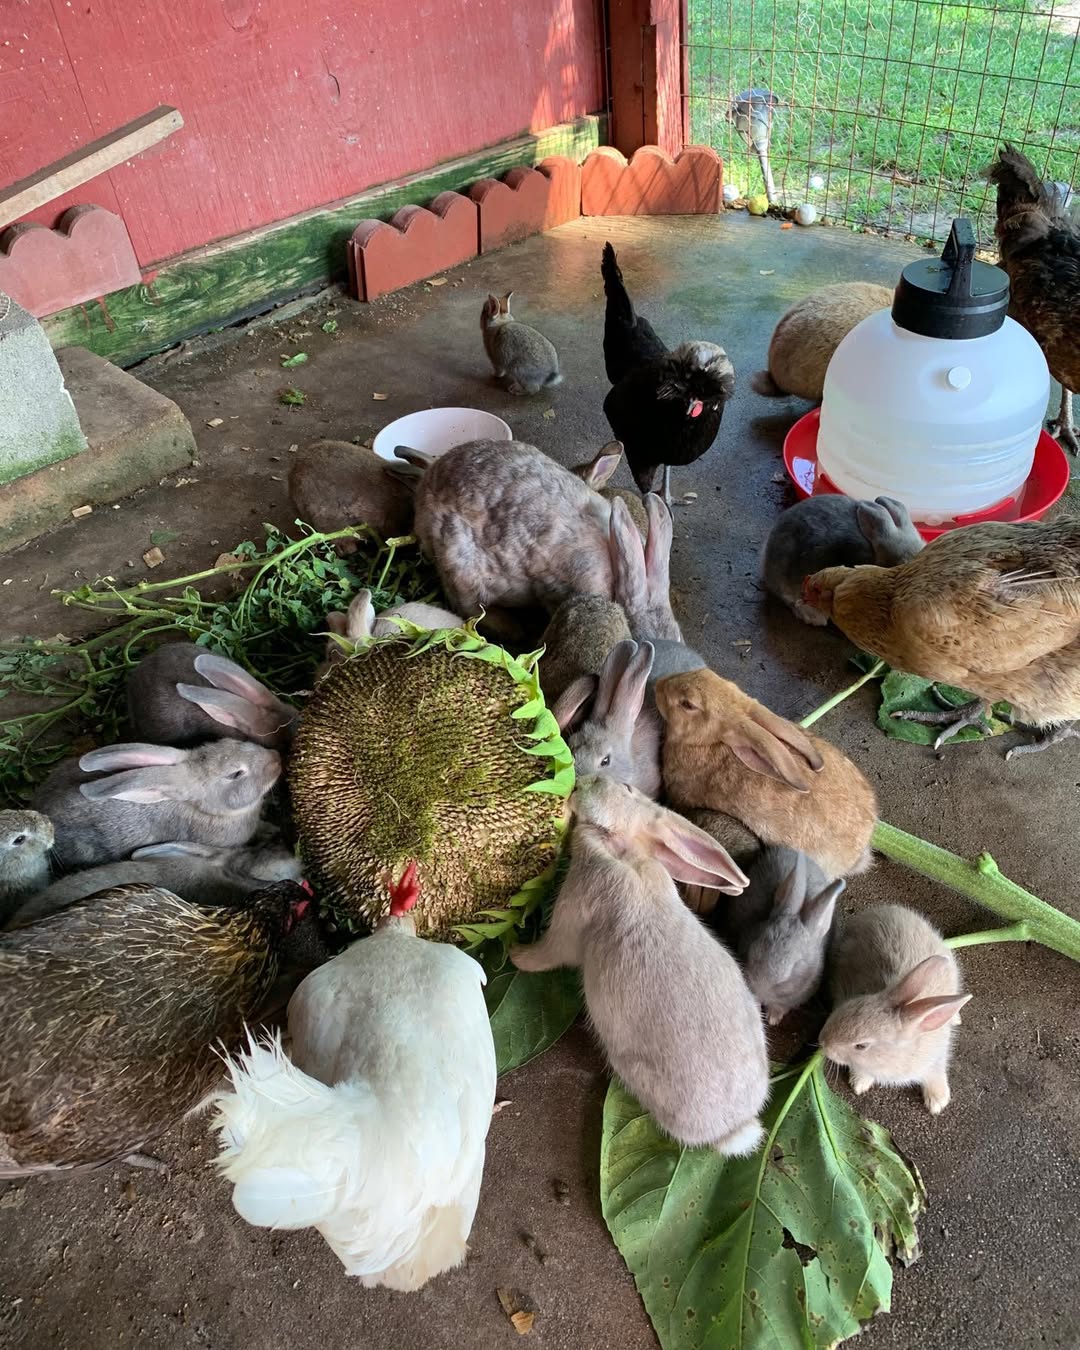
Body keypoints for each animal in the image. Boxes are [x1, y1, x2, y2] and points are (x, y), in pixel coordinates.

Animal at [510, 774, 767, 1154]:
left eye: (628, 788)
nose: (585, 780)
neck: (623, 850)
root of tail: (735, 1128)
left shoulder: (573, 909)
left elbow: (550, 953)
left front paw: (516, 954)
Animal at [821, 903, 970, 1114]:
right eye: (849, 1005)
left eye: (861, 1046)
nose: (823, 1043)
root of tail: (878, 911)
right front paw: (860, 1084)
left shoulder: (935, 1059)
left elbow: (935, 1075)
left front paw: (938, 1102)